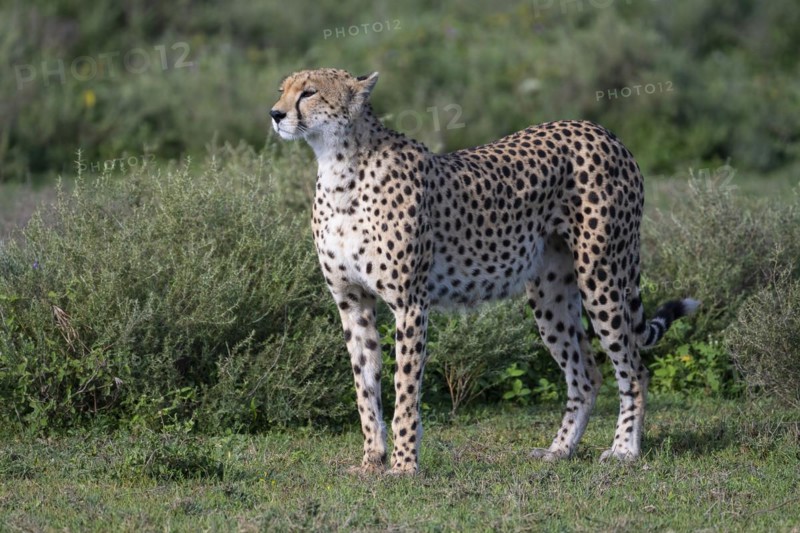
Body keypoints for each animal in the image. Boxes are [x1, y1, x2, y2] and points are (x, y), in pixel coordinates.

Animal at [269, 68, 698, 475]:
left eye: (309, 92)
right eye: (282, 90)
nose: (275, 114)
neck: (339, 167)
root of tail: (601, 130)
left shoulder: (410, 303)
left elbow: (405, 389)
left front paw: (404, 466)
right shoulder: (352, 302)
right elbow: (365, 386)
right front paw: (371, 461)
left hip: (602, 275)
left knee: (635, 370)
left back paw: (625, 450)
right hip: (550, 295)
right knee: (586, 375)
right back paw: (559, 450)